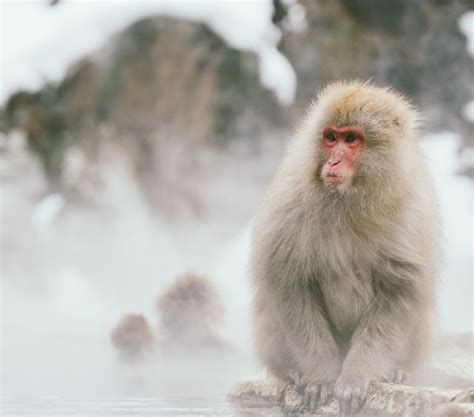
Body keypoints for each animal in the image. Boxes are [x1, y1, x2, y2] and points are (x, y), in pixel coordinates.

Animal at [252, 80, 440, 412]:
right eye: (330, 138)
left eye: (351, 139)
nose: (334, 161)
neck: (348, 203)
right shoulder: (290, 204)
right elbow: (289, 285)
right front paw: (322, 377)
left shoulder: (411, 216)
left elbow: (399, 295)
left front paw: (356, 378)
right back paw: (293, 372)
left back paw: (396, 371)